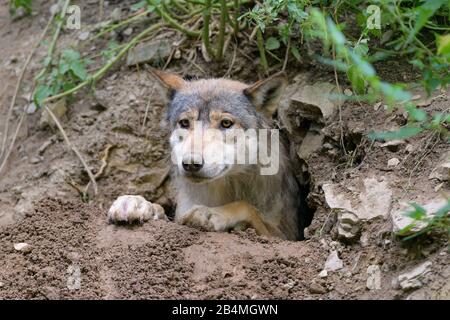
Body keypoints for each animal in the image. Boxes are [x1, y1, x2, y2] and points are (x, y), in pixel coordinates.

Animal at [107, 70, 312, 240]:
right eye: (184, 123)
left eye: (226, 123)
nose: (191, 163)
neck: (225, 188)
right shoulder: (179, 214)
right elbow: (161, 210)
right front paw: (136, 203)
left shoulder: (284, 235)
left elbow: (245, 206)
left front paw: (212, 213)